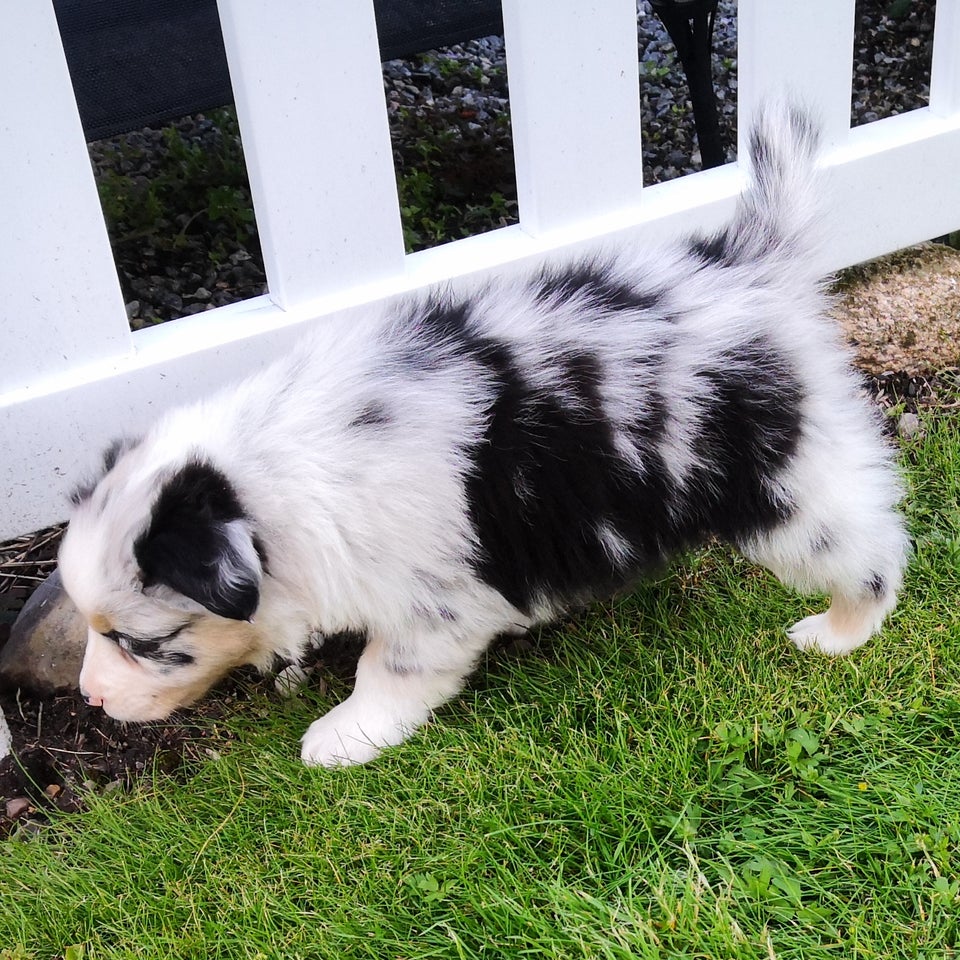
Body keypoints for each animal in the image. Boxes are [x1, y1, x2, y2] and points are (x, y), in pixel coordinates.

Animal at [58, 105, 908, 764]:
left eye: (140, 641)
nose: (91, 701)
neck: (266, 477)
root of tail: (750, 266)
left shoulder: (434, 608)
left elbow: (389, 670)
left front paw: (344, 734)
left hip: (781, 490)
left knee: (873, 547)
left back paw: (839, 632)